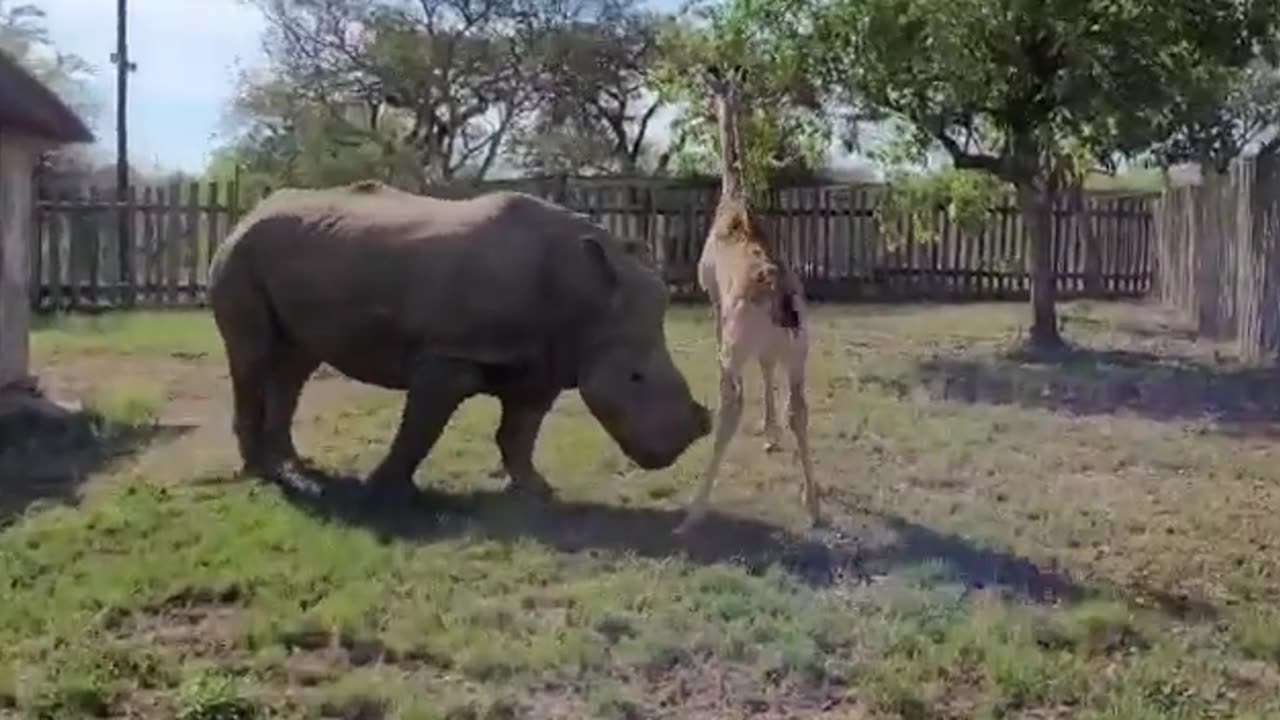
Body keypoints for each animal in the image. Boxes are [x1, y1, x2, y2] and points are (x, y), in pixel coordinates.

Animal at [680, 63, 819, 532]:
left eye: (716, 92)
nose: (718, 101)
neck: (734, 201)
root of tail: (782, 299)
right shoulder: (773, 347)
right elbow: (768, 371)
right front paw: (771, 435)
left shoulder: (713, 299)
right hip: (801, 349)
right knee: (800, 408)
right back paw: (813, 504)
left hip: (740, 346)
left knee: (730, 406)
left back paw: (694, 511)